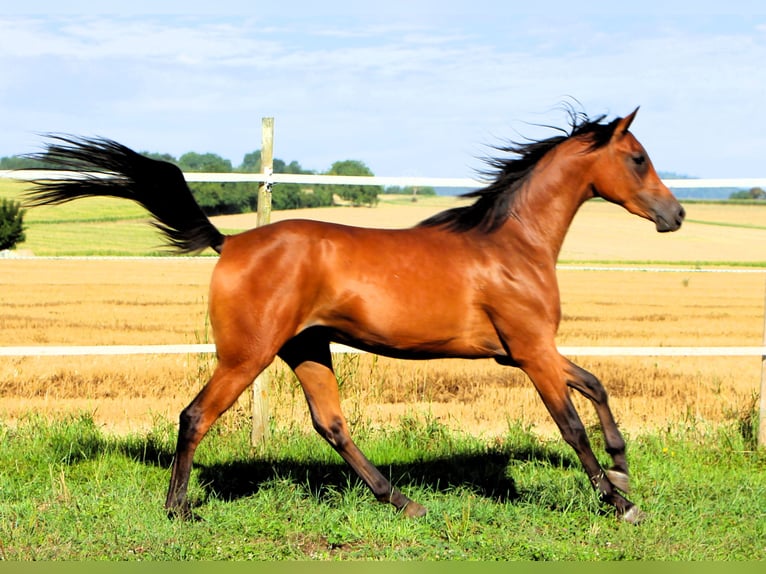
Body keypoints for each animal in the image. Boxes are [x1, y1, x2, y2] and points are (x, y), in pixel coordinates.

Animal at [24, 107, 684, 524]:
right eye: (638, 157)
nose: (674, 215)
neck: (512, 245)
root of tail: (229, 242)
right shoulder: (531, 351)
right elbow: (570, 423)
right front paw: (622, 503)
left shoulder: (525, 351)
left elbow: (595, 385)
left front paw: (623, 470)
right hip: (247, 355)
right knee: (195, 416)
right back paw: (179, 509)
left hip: (306, 348)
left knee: (332, 425)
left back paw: (405, 502)